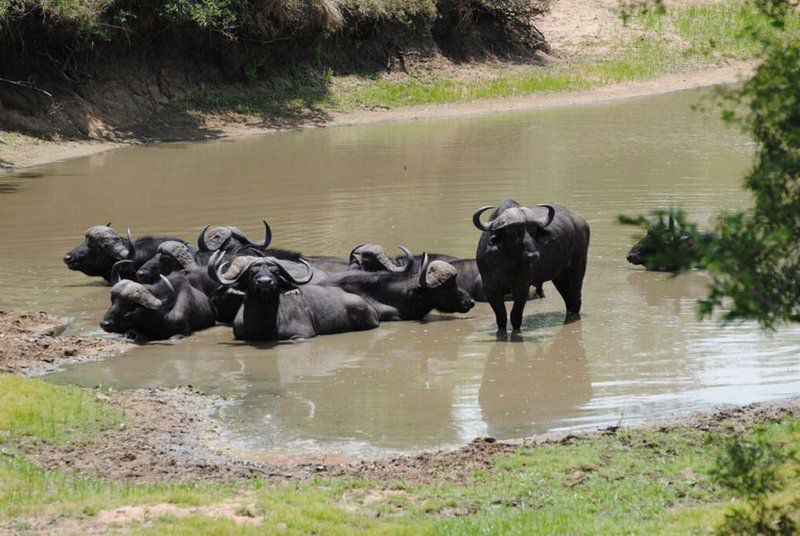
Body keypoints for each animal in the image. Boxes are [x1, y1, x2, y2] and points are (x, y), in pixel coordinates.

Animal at [472, 199, 592, 330]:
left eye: (533, 231)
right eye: (513, 232)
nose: (532, 255)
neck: (506, 263)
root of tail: (582, 222)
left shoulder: (522, 287)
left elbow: (515, 316)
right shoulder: (491, 289)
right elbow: (501, 317)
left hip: (578, 264)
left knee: (575, 297)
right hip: (559, 274)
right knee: (567, 298)